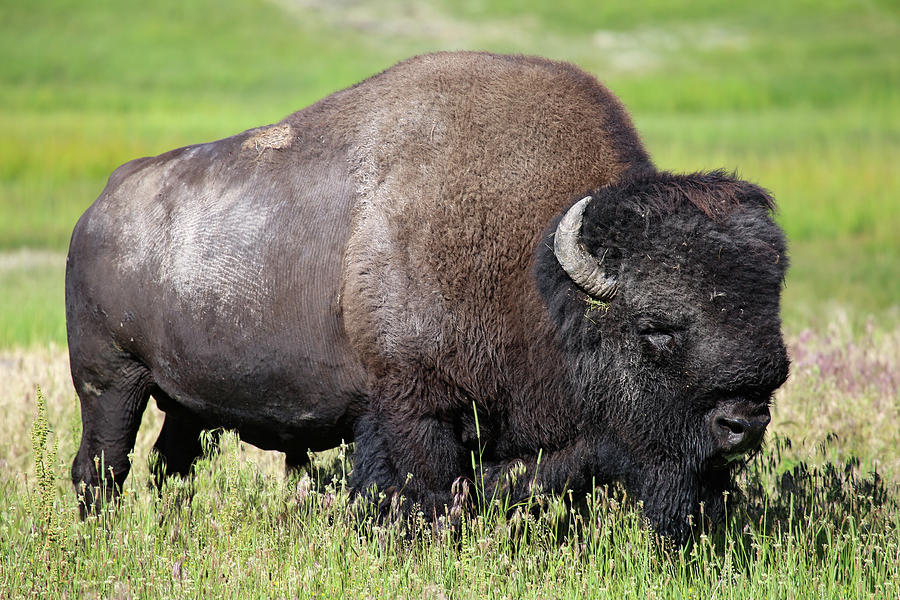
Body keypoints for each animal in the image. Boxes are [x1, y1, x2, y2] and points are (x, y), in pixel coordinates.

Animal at [67, 51, 788, 540]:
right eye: (655, 329)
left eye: (771, 319)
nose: (744, 424)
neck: (541, 277)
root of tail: (98, 208)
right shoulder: (418, 407)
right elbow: (428, 496)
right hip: (112, 382)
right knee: (102, 467)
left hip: (187, 404)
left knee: (169, 467)